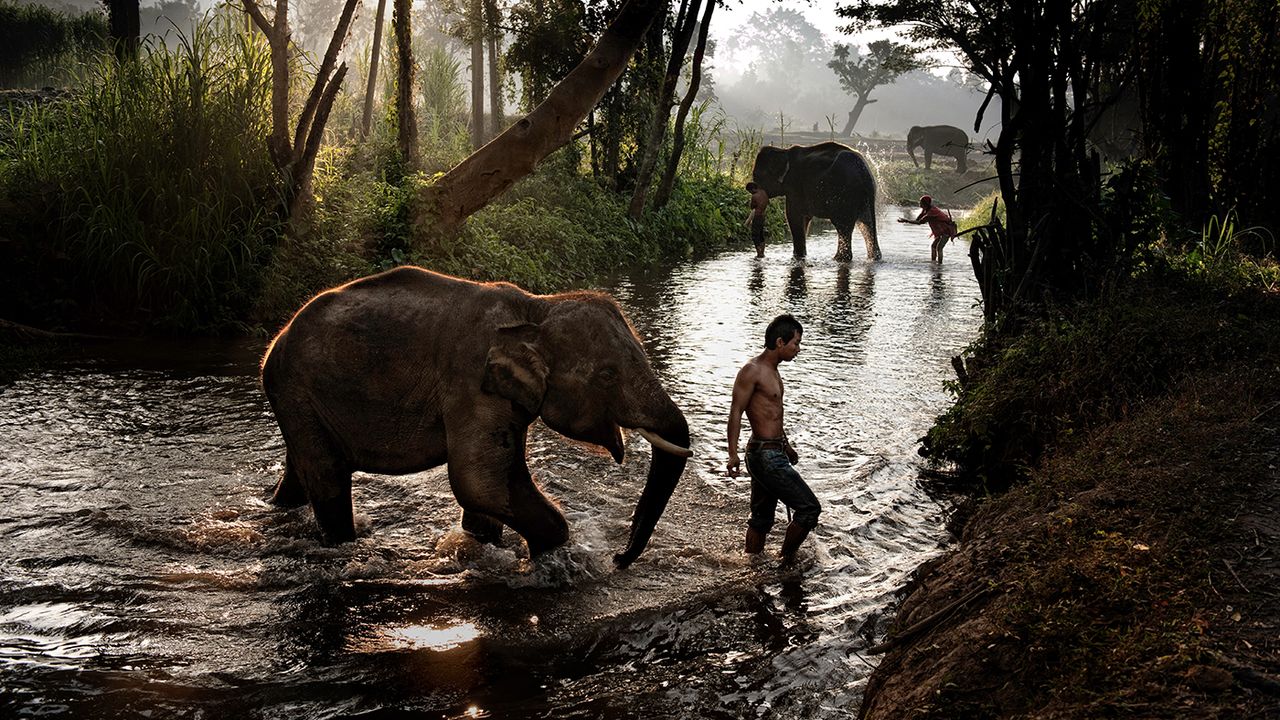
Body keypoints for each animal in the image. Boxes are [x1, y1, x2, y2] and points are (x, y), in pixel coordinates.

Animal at [260, 266, 693, 568]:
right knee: (328, 474)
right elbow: (480, 481)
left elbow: (492, 482)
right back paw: (342, 544)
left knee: (303, 470)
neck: (536, 307)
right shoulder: (469, 379)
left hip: (301, 402)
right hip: (296, 390)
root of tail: (276, 340)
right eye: (607, 375)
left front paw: (484, 545)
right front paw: (553, 554)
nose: (619, 559)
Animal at [750, 142, 880, 262]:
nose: (761, 255)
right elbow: (804, 218)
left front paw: (798, 257)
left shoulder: (794, 186)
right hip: (866, 197)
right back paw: (873, 258)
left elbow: (793, 216)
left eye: (756, 175)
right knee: (866, 225)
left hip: (844, 195)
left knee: (842, 226)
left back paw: (838, 259)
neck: (783, 151)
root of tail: (863, 173)